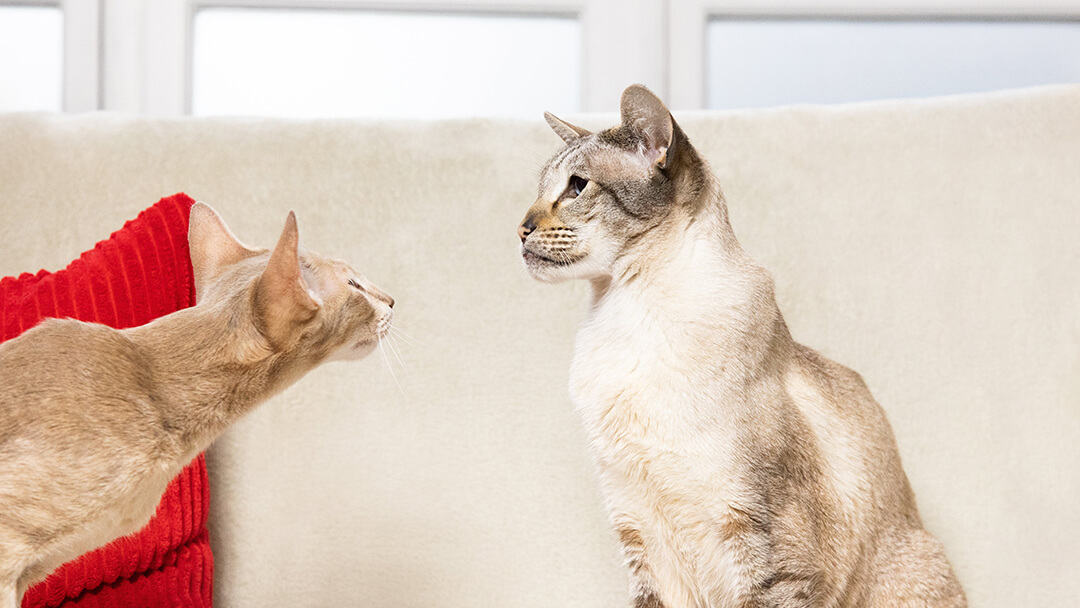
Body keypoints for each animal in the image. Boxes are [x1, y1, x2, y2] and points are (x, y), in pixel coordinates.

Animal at [518, 85, 967, 608]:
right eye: (543, 188)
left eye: (577, 187)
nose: (520, 228)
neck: (624, 314)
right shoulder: (640, 535)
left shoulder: (760, 538)